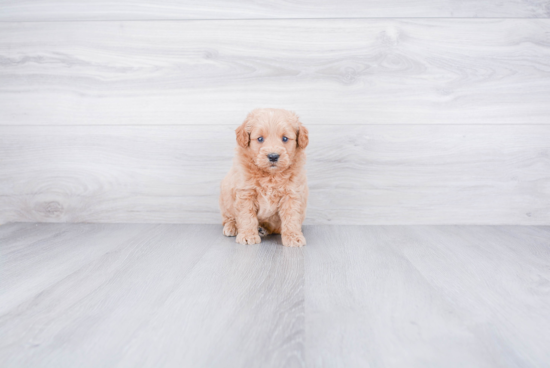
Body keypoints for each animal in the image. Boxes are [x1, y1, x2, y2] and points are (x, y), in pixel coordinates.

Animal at [222, 109, 312, 247]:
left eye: (285, 138)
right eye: (260, 139)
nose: (273, 156)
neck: (271, 175)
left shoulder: (291, 194)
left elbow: (291, 217)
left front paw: (293, 237)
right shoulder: (245, 193)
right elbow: (246, 216)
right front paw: (248, 235)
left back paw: (262, 229)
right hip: (225, 196)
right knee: (228, 217)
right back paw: (232, 226)